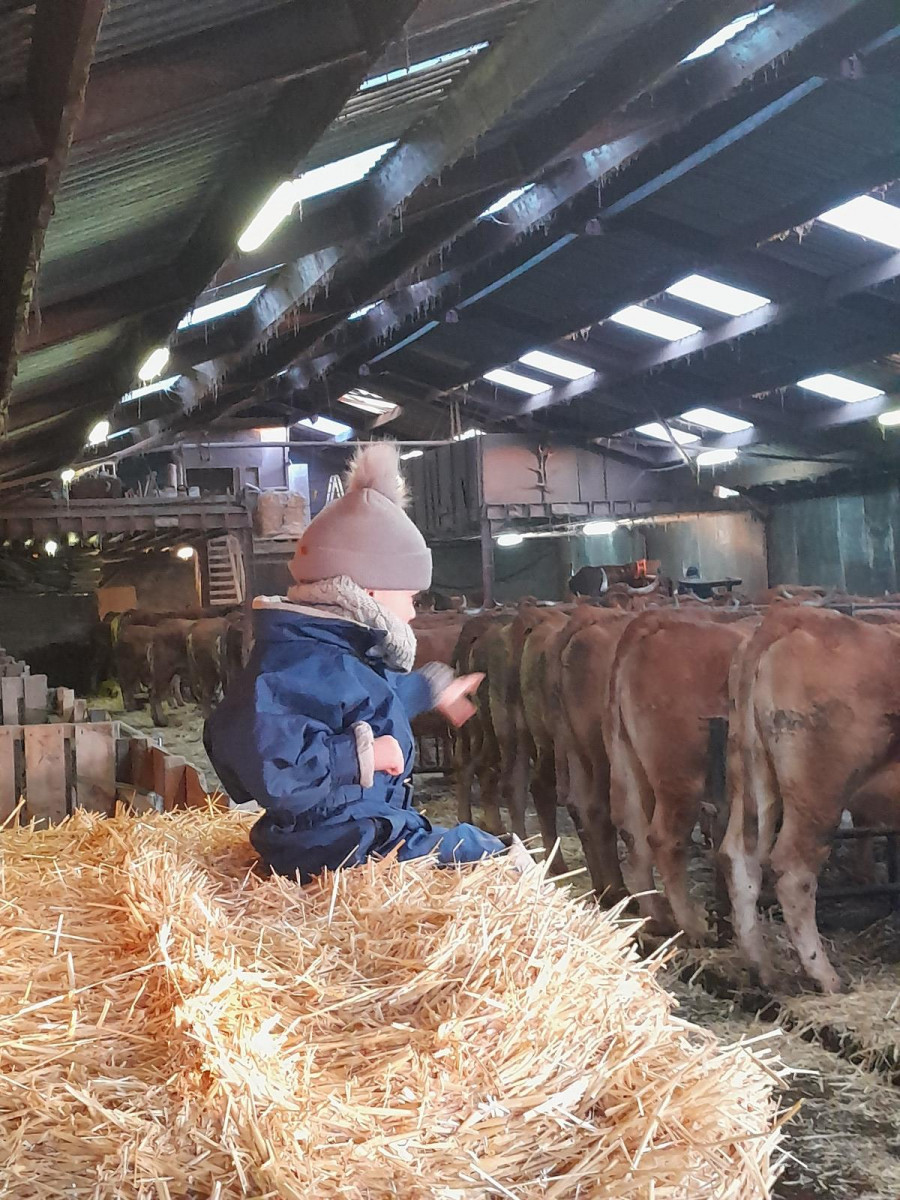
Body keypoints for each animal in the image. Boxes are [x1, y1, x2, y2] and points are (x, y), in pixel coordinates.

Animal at [724, 609, 900, 993]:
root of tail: (797, 617)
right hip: (820, 793)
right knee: (794, 871)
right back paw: (826, 977)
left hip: (752, 773)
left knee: (740, 858)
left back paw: (763, 971)